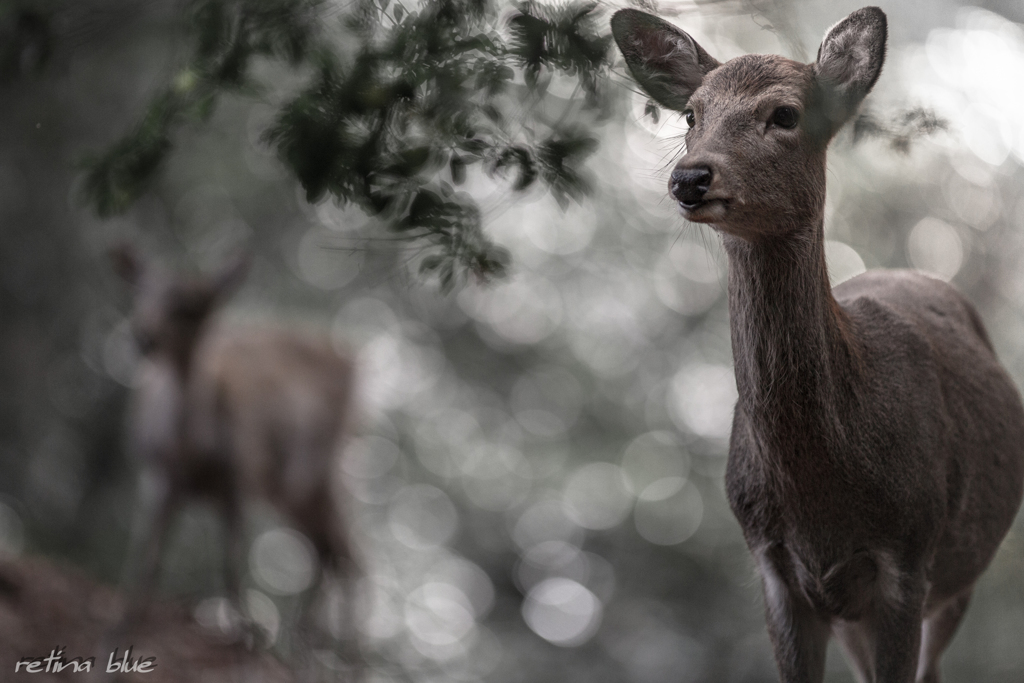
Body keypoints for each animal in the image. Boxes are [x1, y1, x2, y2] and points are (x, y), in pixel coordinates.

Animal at [107, 245, 360, 655]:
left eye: (192, 307)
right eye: (140, 291)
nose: (144, 335)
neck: (191, 452)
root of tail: (353, 359)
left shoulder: (241, 474)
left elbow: (231, 560)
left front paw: (246, 632)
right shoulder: (157, 474)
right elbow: (148, 554)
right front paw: (124, 622)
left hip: (316, 470)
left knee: (347, 553)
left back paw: (344, 654)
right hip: (293, 490)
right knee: (329, 550)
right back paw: (306, 645)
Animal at [614, 6, 1024, 683]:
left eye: (784, 114)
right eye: (691, 115)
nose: (691, 177)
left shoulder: (909, 555)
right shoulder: (772, 565)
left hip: (957, 582)